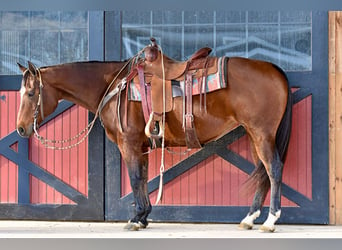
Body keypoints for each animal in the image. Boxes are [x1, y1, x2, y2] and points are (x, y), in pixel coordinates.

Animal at [16, 44, 292, 232]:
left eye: (30, 93)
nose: (19, 129)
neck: (114, 86)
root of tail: (275, 69)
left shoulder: (128, 144)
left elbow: (135, 178)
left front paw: (136, 218)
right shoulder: (142, 145)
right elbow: (143, 177)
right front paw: (144, 216)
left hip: (262, 133)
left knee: (274, 169)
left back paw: (270, 220)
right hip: (253, 135)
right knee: (262, 172)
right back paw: (249, 218)